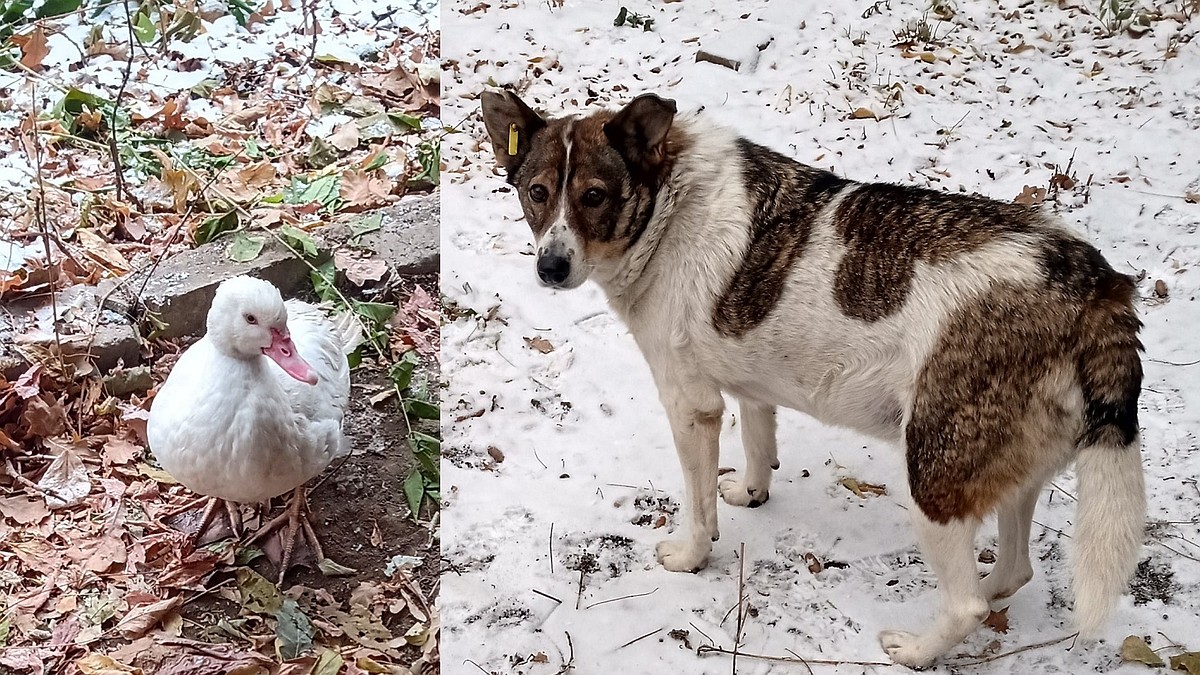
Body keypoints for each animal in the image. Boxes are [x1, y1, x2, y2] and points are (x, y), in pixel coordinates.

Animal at [475, 90, 1142, 667]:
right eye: (537, 193)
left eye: (593, 196)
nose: (551, 267)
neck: (667, 203)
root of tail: (1092, 283)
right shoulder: (749, 384)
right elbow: (757, 441)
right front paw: (752, 493)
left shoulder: (690, 405)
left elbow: (697, 507)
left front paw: (691, 556)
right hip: (1004, 463)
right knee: (1013, 570)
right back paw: (994, 586)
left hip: (933, 471)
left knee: (967, 604)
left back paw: (915, 651)